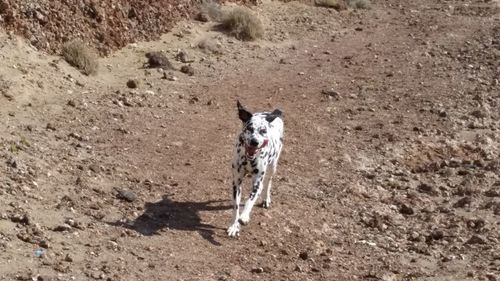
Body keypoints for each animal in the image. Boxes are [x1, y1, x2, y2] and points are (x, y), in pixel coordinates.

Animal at [228, 100, 284, 236]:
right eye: (250, 128)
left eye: (263, 131)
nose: (254, 141)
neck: (248, 159)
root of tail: (271, 113)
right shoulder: (236, 183)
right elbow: (236, 207)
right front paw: (234, 226)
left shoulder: (257, 182)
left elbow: (250, 200)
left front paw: (244, 216)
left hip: (273, 166)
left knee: (267, 183)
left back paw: (265, 198)